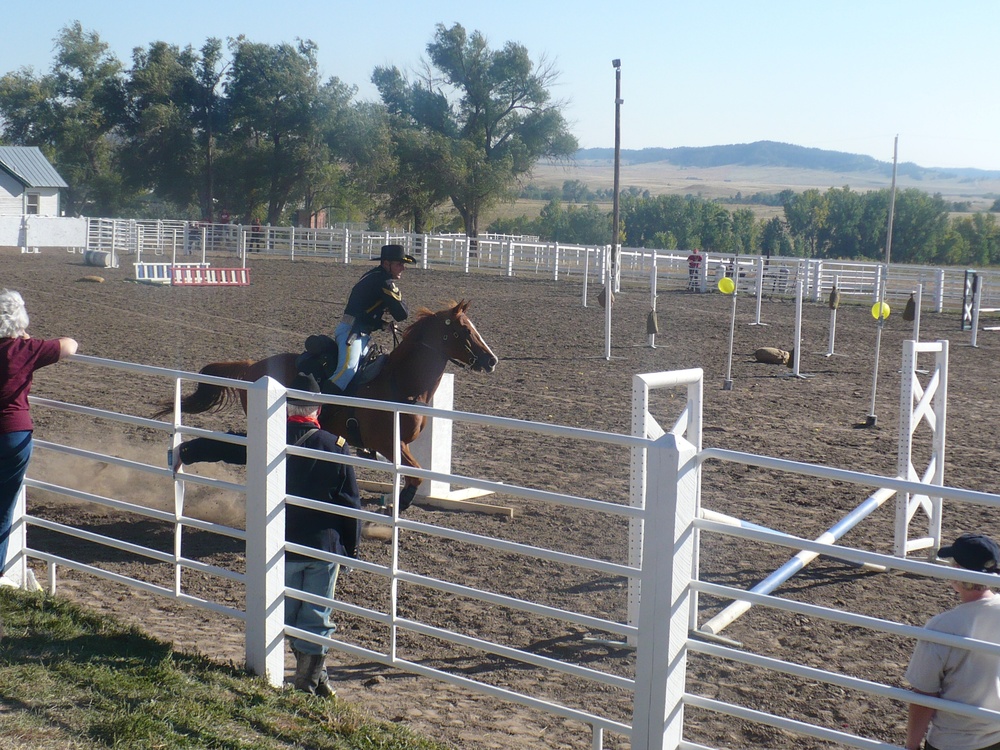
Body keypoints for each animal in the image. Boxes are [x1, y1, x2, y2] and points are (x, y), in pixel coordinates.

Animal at [155, 302, 496, 516]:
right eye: (464, 330)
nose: (491, 360)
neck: (399, 381)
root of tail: (253, 366)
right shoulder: (388, 443)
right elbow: (415, 477)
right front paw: (394, 506)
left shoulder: (399, 445)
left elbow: (413, 476)